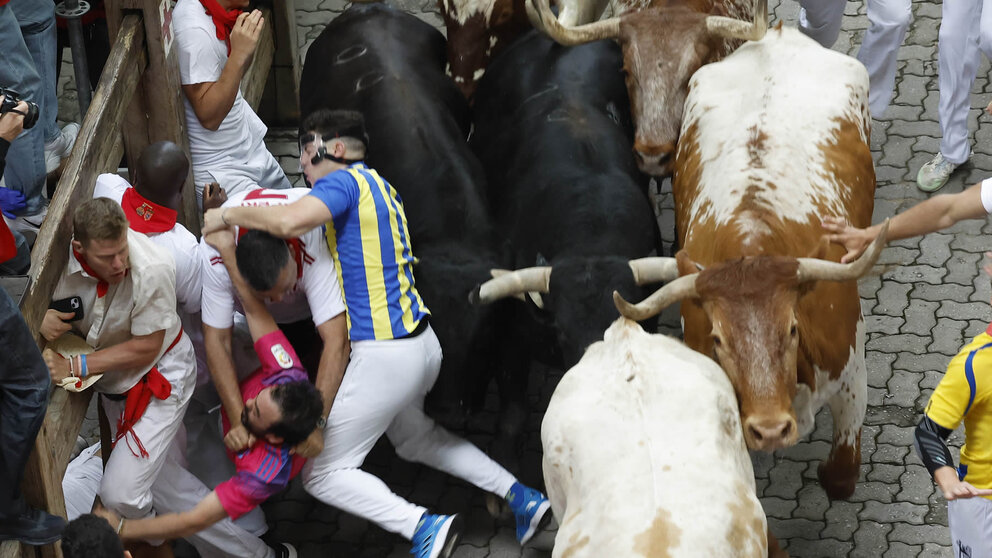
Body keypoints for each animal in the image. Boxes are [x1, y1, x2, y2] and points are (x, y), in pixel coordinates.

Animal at [616, 24, 888, 500]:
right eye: (718, 340)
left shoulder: (853, 375)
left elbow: (840, 477)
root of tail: (776, 35)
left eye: (793, 328)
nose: (771, 429)